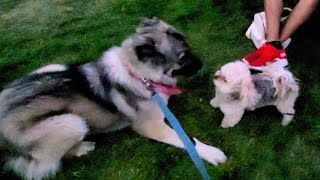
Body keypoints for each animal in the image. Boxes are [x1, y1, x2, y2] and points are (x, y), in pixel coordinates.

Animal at [0, 17, 226, 180]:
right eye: (183, 57)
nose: (203, 63)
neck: (139, 74)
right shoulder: (150, 126)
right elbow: (186, 140)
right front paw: (211, 153)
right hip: (73, 123)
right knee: (48, 162)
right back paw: (82, 148)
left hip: (54, 67)